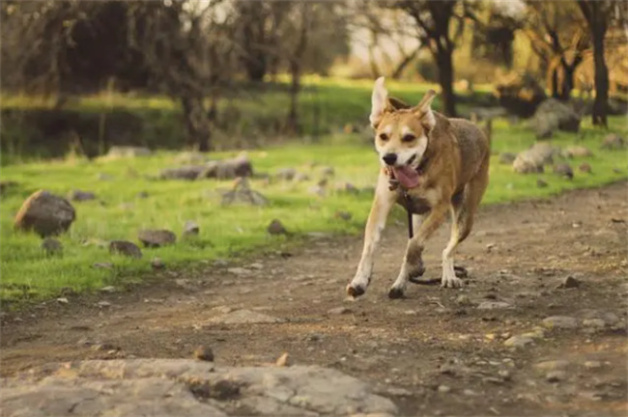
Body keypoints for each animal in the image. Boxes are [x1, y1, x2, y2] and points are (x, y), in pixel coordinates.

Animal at [346, 77, 488, 300]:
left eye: (409, 137)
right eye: (383, 136)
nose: (389, 157)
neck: (418, 171)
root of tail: (478, 129)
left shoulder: (440, 208)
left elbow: (414, 244)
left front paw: (411, 269)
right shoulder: (382, 203)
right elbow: (370, 245)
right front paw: (359, 281)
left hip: (465, 216)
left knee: (448, 249)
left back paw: (447, 275)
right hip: (418, 215)